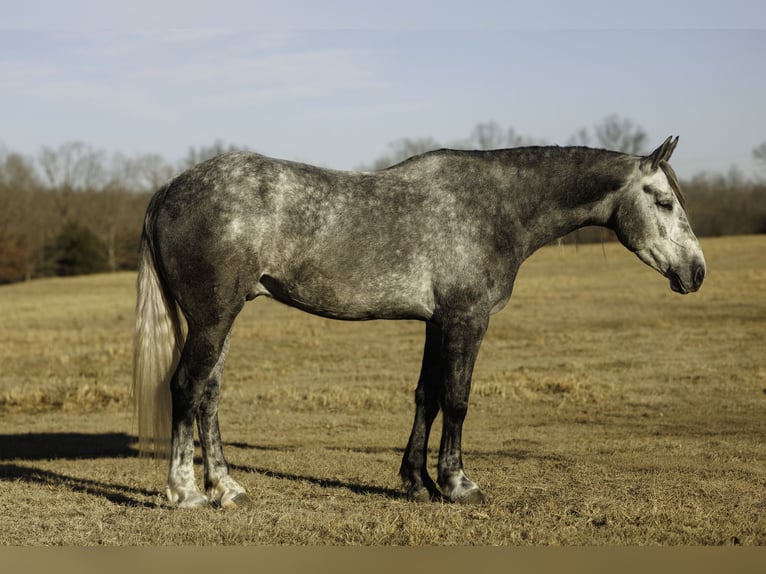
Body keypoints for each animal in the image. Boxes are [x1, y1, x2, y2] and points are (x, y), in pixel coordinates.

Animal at [133, 136, 706, 508]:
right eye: (663, 201)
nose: (696, 272)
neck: (493, 208)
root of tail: (168, 189)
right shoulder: (466, 319)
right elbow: (457, 398)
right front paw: (458, 485)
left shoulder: (438, 323)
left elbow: (426, 396)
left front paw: (417, 482)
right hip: (212, 318)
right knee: (186, 387)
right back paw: (186, 492)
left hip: (225, 317)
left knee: (208, 395)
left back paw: (228, 490)